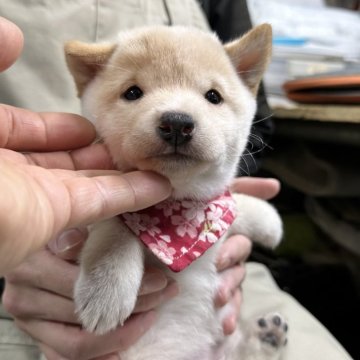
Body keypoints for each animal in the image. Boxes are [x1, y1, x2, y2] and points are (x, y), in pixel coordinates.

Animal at [66, 23, 288, 358]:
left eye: (213, 96)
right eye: (133, 92)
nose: (177, 122)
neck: (176, 206)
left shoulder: (211, 205)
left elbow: (231, 204)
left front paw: (267, 219)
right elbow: (115, 223)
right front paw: (106, 287)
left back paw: (267, 338)